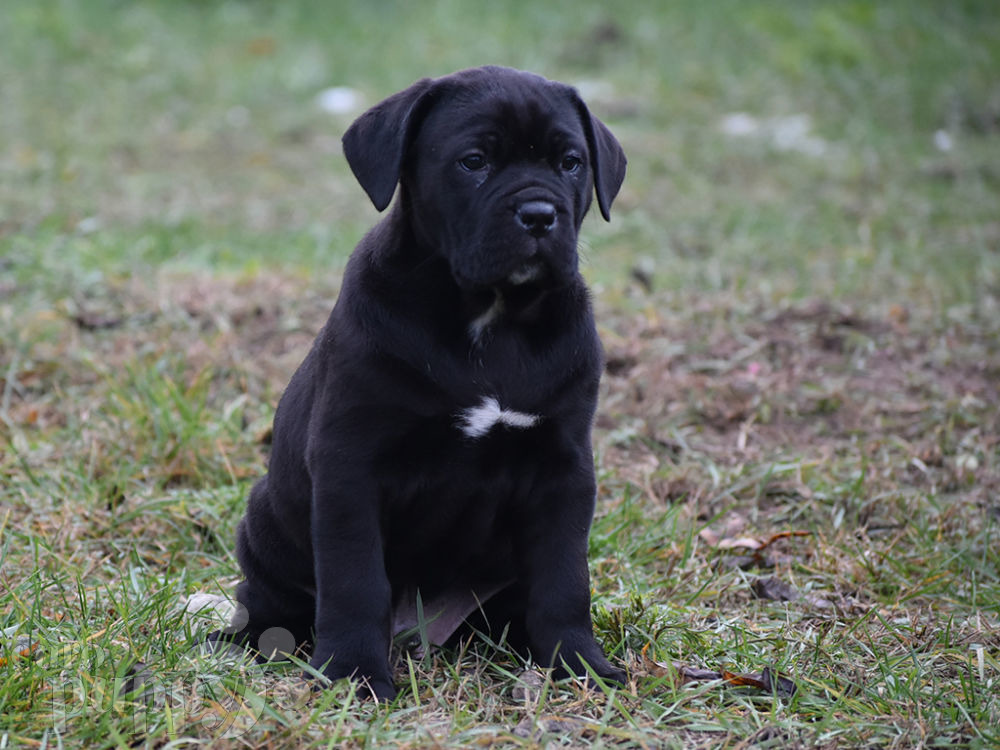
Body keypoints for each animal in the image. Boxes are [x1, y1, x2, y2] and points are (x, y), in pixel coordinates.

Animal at [213, 63, 624, 700]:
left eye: (570, 162)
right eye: (474, 161)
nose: (538, 214)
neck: (488, 316)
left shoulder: (563, 469)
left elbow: (564, 579)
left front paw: (580, 664)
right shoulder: (350, 465)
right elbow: (356, 580)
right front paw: (355, 673)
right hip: (265, 522)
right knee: (268, 601)